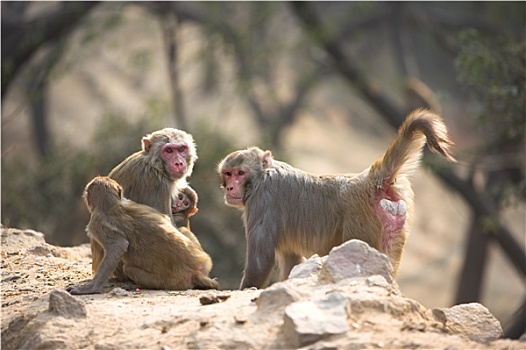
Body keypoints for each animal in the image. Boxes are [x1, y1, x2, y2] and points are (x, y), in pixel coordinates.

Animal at [67, 176, 219, 294]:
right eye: (180, 198)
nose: (179, 204)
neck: (112, 204)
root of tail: (194, 271)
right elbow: (165, 218)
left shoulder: (96, 224)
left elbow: (118, 246)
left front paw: (91, 288)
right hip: (205, 261)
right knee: (182, 230)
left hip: (168, 281)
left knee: (128, 268)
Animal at [219, 109, 458, 290]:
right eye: (228, 174)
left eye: (240, 173)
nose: (230, 187)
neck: (262, 176)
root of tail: (369, 180)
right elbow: (291, 259)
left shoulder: (262, 200)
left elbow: (261, 260)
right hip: (396, 219)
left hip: (360, 225)